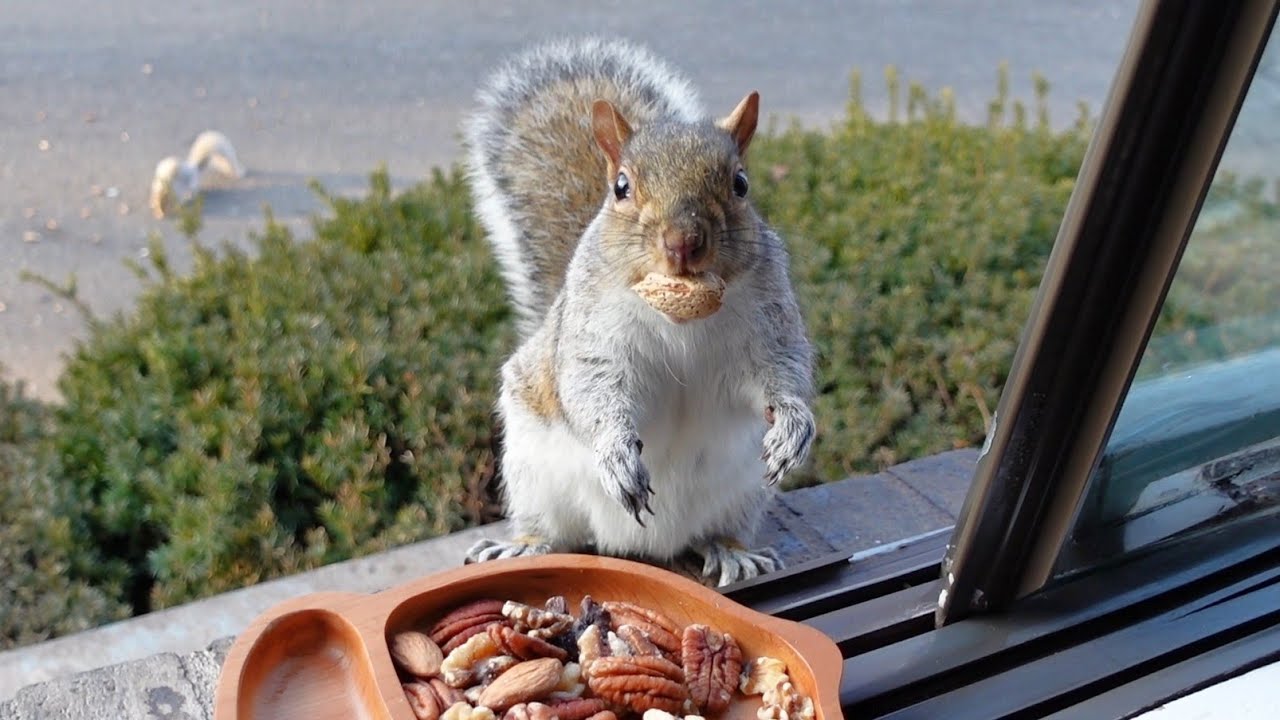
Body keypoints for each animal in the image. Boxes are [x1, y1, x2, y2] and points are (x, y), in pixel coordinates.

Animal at [462, 37, 816, 587]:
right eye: (622, 187)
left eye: (740, 184)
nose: (683, 243)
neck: (682, 314)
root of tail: (643, 546)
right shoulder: (593, 333)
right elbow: (592, 387)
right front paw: (615, 451)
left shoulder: (771, 316)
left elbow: (785, 370)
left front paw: (794, 427)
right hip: (535, 474)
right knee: (552, 530)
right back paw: (524, 545)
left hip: (743, 491)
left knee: (717, 530)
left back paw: (732, 551)